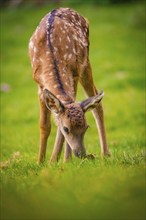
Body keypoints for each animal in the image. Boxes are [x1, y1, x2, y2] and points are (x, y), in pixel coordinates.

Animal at [29, 7, 110, 162]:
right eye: (66, 128)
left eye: (86, 127)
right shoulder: (39, 85)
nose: (81, 153)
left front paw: (64, 161)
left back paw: (106, 154)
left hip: (86, 62)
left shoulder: (74, 73)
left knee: (97, 104)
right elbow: (45, 125)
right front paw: (41, 161)